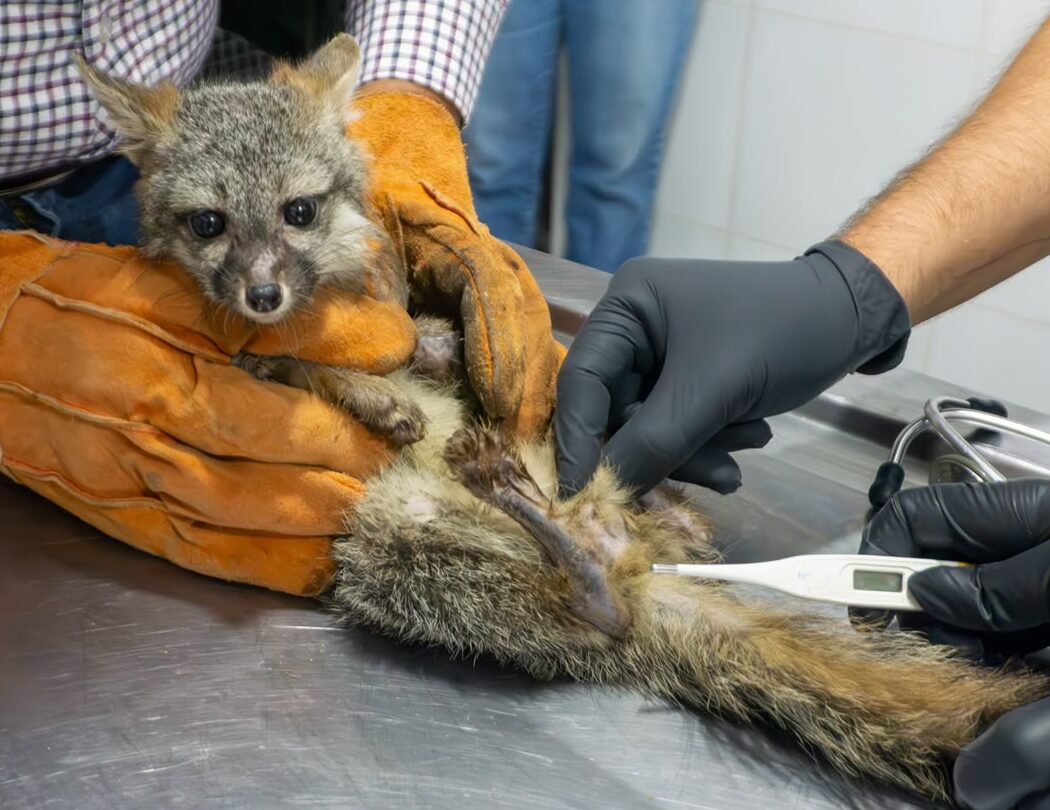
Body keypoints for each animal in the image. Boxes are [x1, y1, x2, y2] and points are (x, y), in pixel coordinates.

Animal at [78, 34, 1049, 802]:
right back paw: (549, 531)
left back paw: (554, 500)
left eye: (299, 212)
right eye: (209, 224)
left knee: (622, 570)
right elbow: (295, 364)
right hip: (387, 544)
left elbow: (417, 345)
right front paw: (361, 385)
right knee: (598, 609)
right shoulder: (257, 359)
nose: (262, 294)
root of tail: (643, 570)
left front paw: (422, 354)